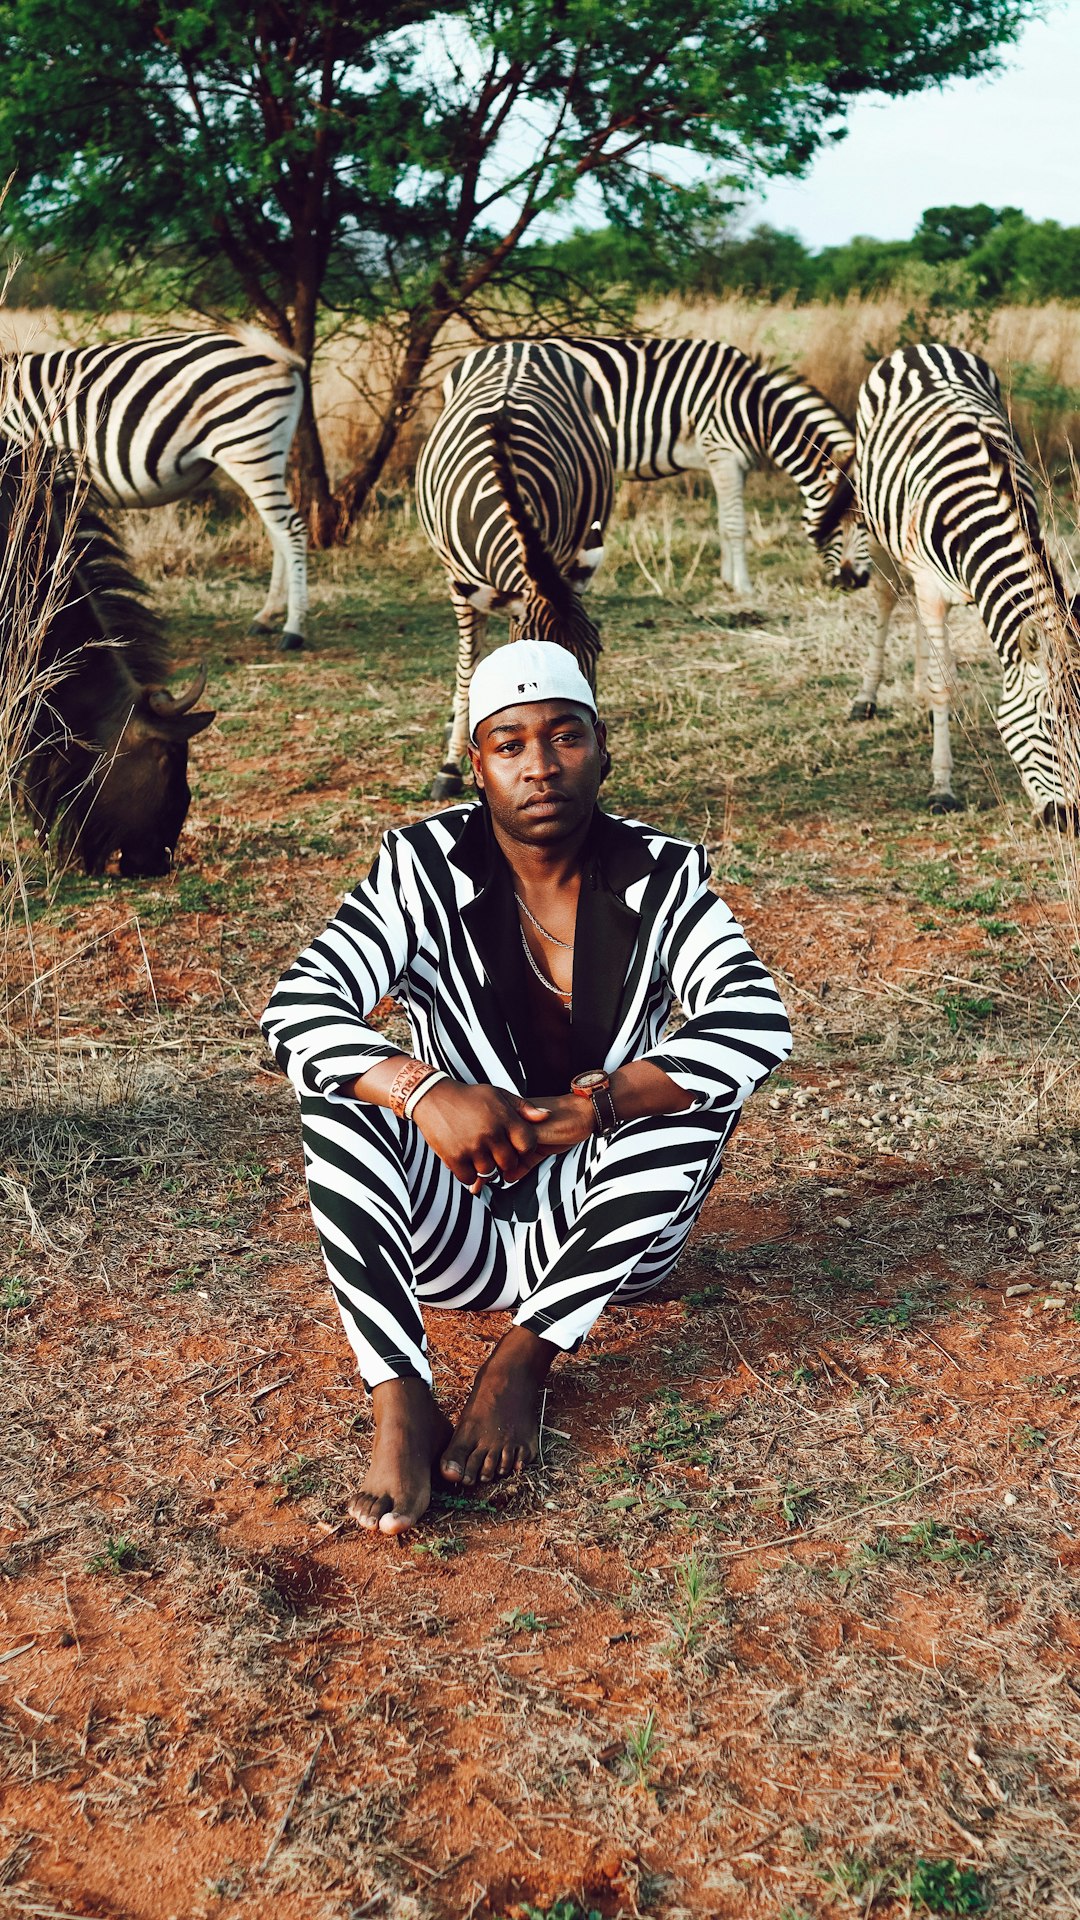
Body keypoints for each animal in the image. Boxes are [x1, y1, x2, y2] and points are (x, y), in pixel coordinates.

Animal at [0, 330, 307, 652]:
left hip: (249, 447)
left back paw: (293, 629)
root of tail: (275, 354)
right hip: (260, 454)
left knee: (292, 531)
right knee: (277, 531)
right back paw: (267, 616)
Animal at [417, 339, 611, 794]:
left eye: (595, 652)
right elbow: (468, 671)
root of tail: (520, 343)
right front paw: (450, 766)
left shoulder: (559, 556)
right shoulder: (458, 582)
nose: (601, 761)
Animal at [490, 334, 864, 591]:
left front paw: (727, 581)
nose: (854, 583)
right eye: (855, 523)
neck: (757, 410)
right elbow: (736, 526)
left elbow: (723, 523)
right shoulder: (724, 454)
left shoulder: (728, 463)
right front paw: (744, 588)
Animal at [853, 345, 1068, 825]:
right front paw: (942, 788)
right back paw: (867, 697)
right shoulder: (933, 589)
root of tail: (921, 347)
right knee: (886, 599)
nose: (1068, 820)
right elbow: (946, 685)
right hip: (876, 528)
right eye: (1048, 725)